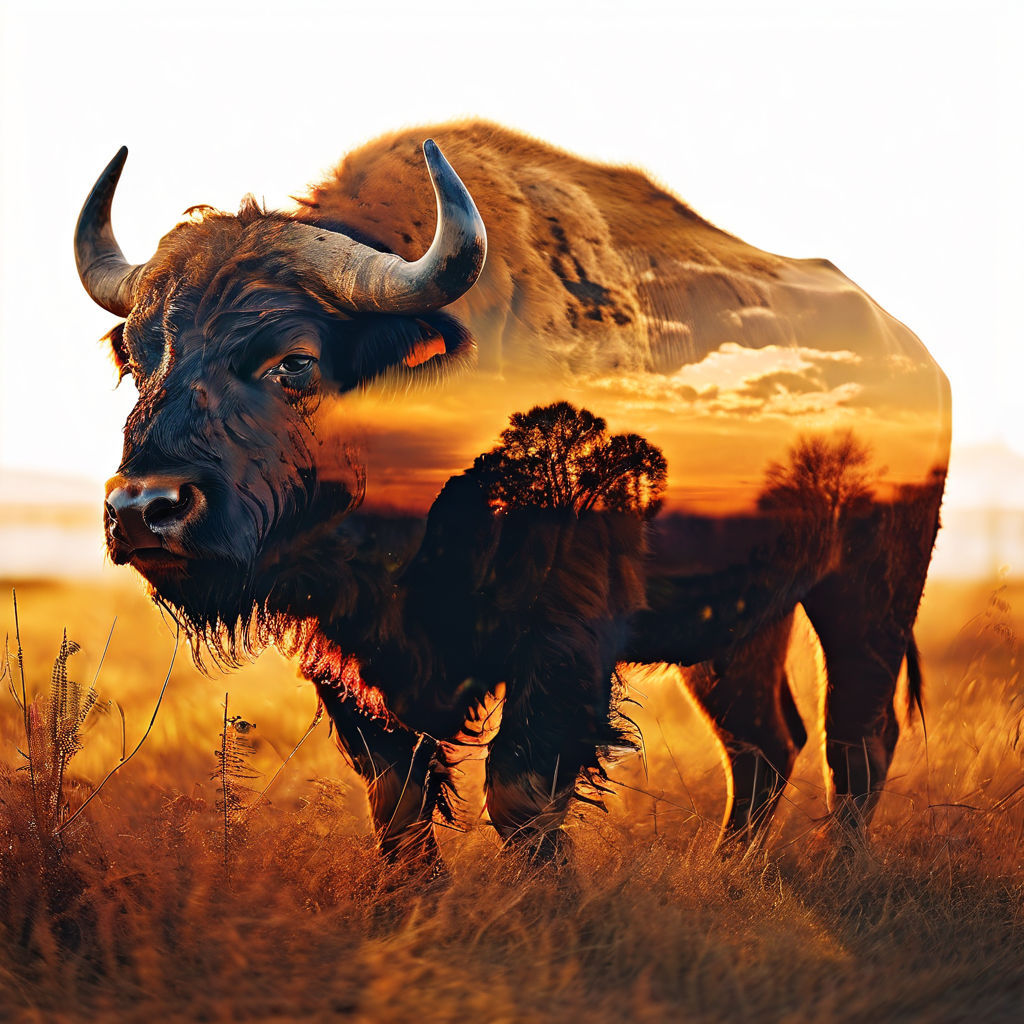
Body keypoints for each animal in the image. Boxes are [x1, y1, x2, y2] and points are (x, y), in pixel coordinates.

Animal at [76, 121, 950, 866]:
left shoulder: (564, 637)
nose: (144, 508)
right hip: (739, 624)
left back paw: (838, 873)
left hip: (870, 590)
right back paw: (732, 873)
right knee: (766, 744)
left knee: (856, 738)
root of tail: (915, 356)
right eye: (138, 356)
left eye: (294, 361)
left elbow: (523, 794)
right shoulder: (350, 660)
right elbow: (397, 800)